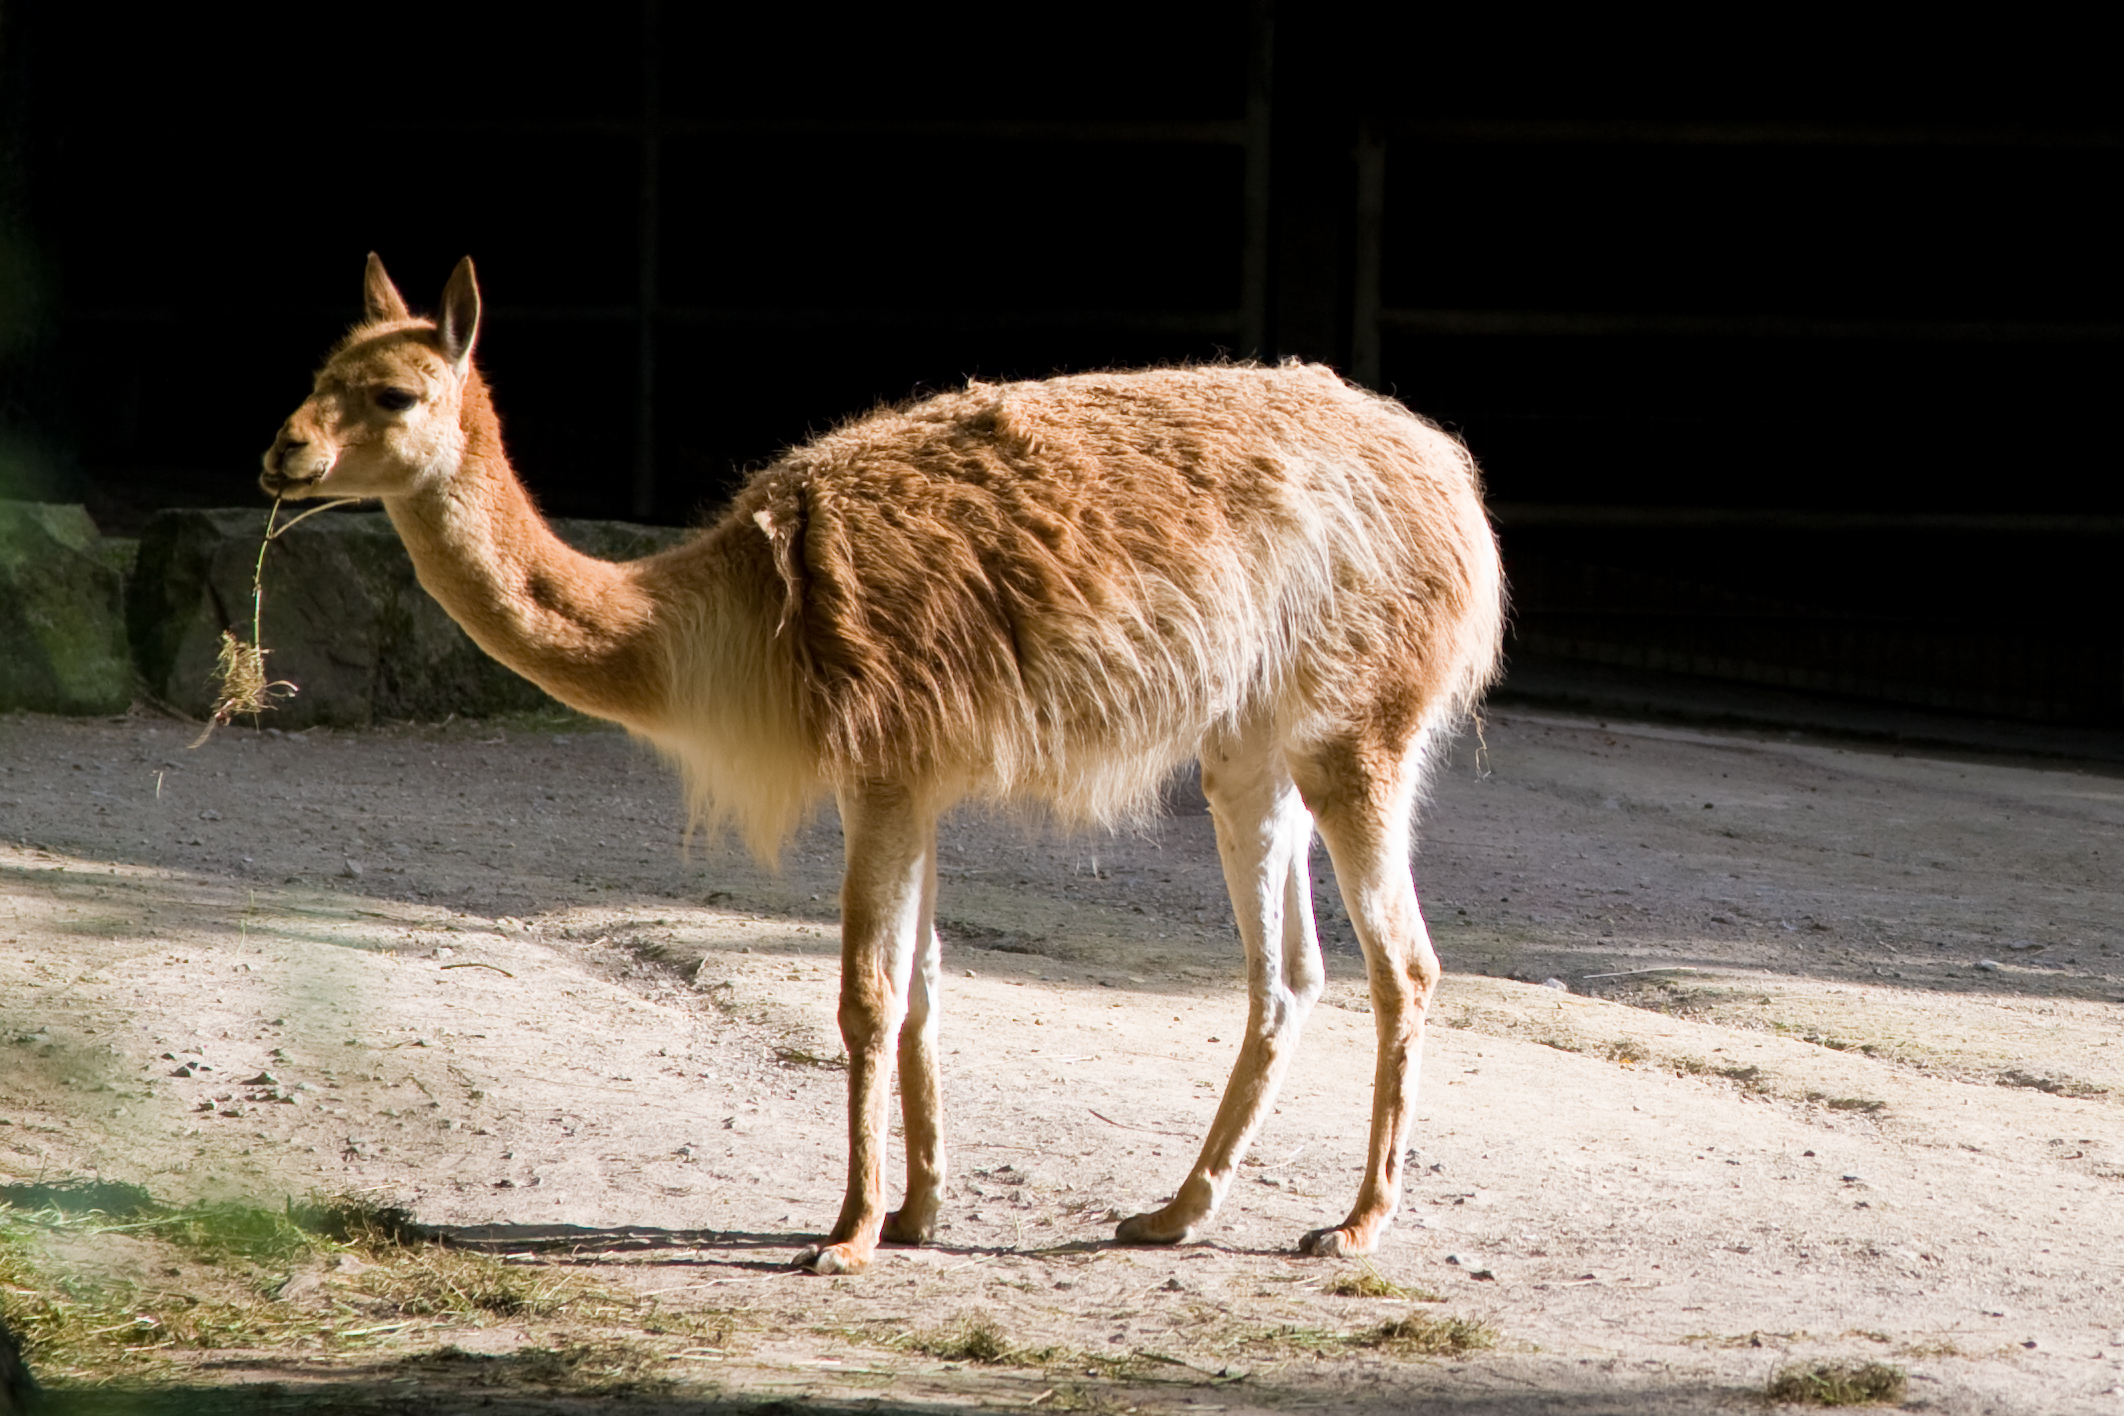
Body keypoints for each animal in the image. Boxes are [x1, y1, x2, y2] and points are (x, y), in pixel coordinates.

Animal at [262, 255, 1505, 1274]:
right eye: (321, 369)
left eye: (395, 395)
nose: (284, 452)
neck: (718, 616)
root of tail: (1447, 473)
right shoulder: (915, 774)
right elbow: (923, 989)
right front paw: (917, 1212)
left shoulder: (886, 768)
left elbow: (865, 996)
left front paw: (848, 1235)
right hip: (1250, 749)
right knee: (1288, 974)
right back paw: (1174, 1210)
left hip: (1359, 728)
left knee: (1406, 965)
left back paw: (1353, 1224)